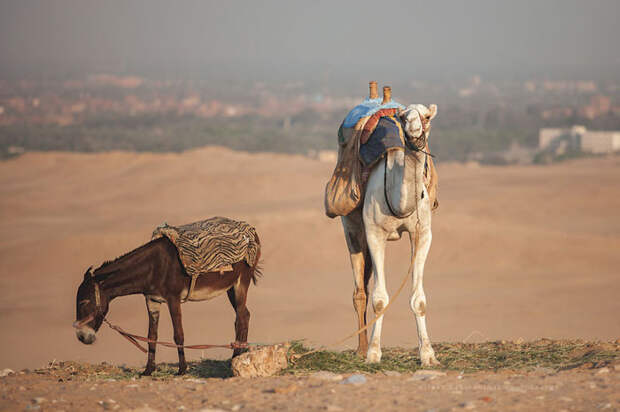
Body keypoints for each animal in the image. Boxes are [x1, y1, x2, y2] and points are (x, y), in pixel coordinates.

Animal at [340, 104, 440, 366]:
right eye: (404, 117)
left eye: (426, 117)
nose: (414, 129)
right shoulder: (375, 234)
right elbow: (379, 299)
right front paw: (374, 354)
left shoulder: (422, 233)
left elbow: (419, 300)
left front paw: (428, 355)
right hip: (352, 228)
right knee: (360, 291)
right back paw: (361, 348)